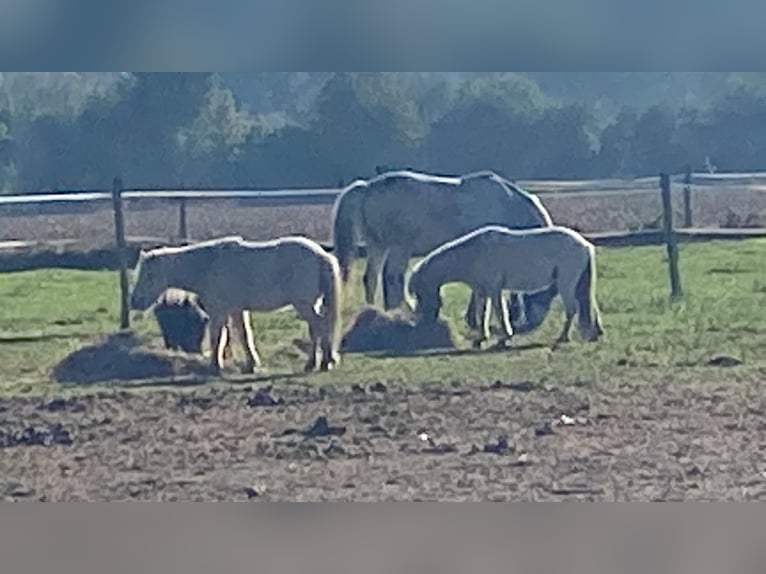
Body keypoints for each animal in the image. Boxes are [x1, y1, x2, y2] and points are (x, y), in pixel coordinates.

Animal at [130, 235, 343, 374]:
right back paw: (320, 362)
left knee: (319, 326)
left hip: (304, 305)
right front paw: (251, 365)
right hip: (310, 305)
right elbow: (243, 336)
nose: (134, 301)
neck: (208, 265)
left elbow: (217, 338)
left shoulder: (219, 312)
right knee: (316, 328)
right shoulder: (236, 311)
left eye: (149, 275)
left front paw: (215, 366)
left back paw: (320, 362)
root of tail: (321, 255)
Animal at [331, 169, 554, 329]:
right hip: (399, 247)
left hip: (379, 246)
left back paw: (373, 310)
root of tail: (367, 187)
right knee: (392, 277)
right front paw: (474, 319)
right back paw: (403, 311)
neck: (506, 204)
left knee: (371, 277)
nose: (531, 323)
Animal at [407, 225, 604, 350]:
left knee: (572, 309)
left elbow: (500, 313)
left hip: (566, 284)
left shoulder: (494, 290)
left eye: (419, 295)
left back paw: (563, 337)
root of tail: (584, 244)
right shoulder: (482, 291)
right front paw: (481, 339)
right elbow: (482, 314)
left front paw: (504, 338)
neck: (474, 253)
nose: (423, 321)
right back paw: (593, 334)